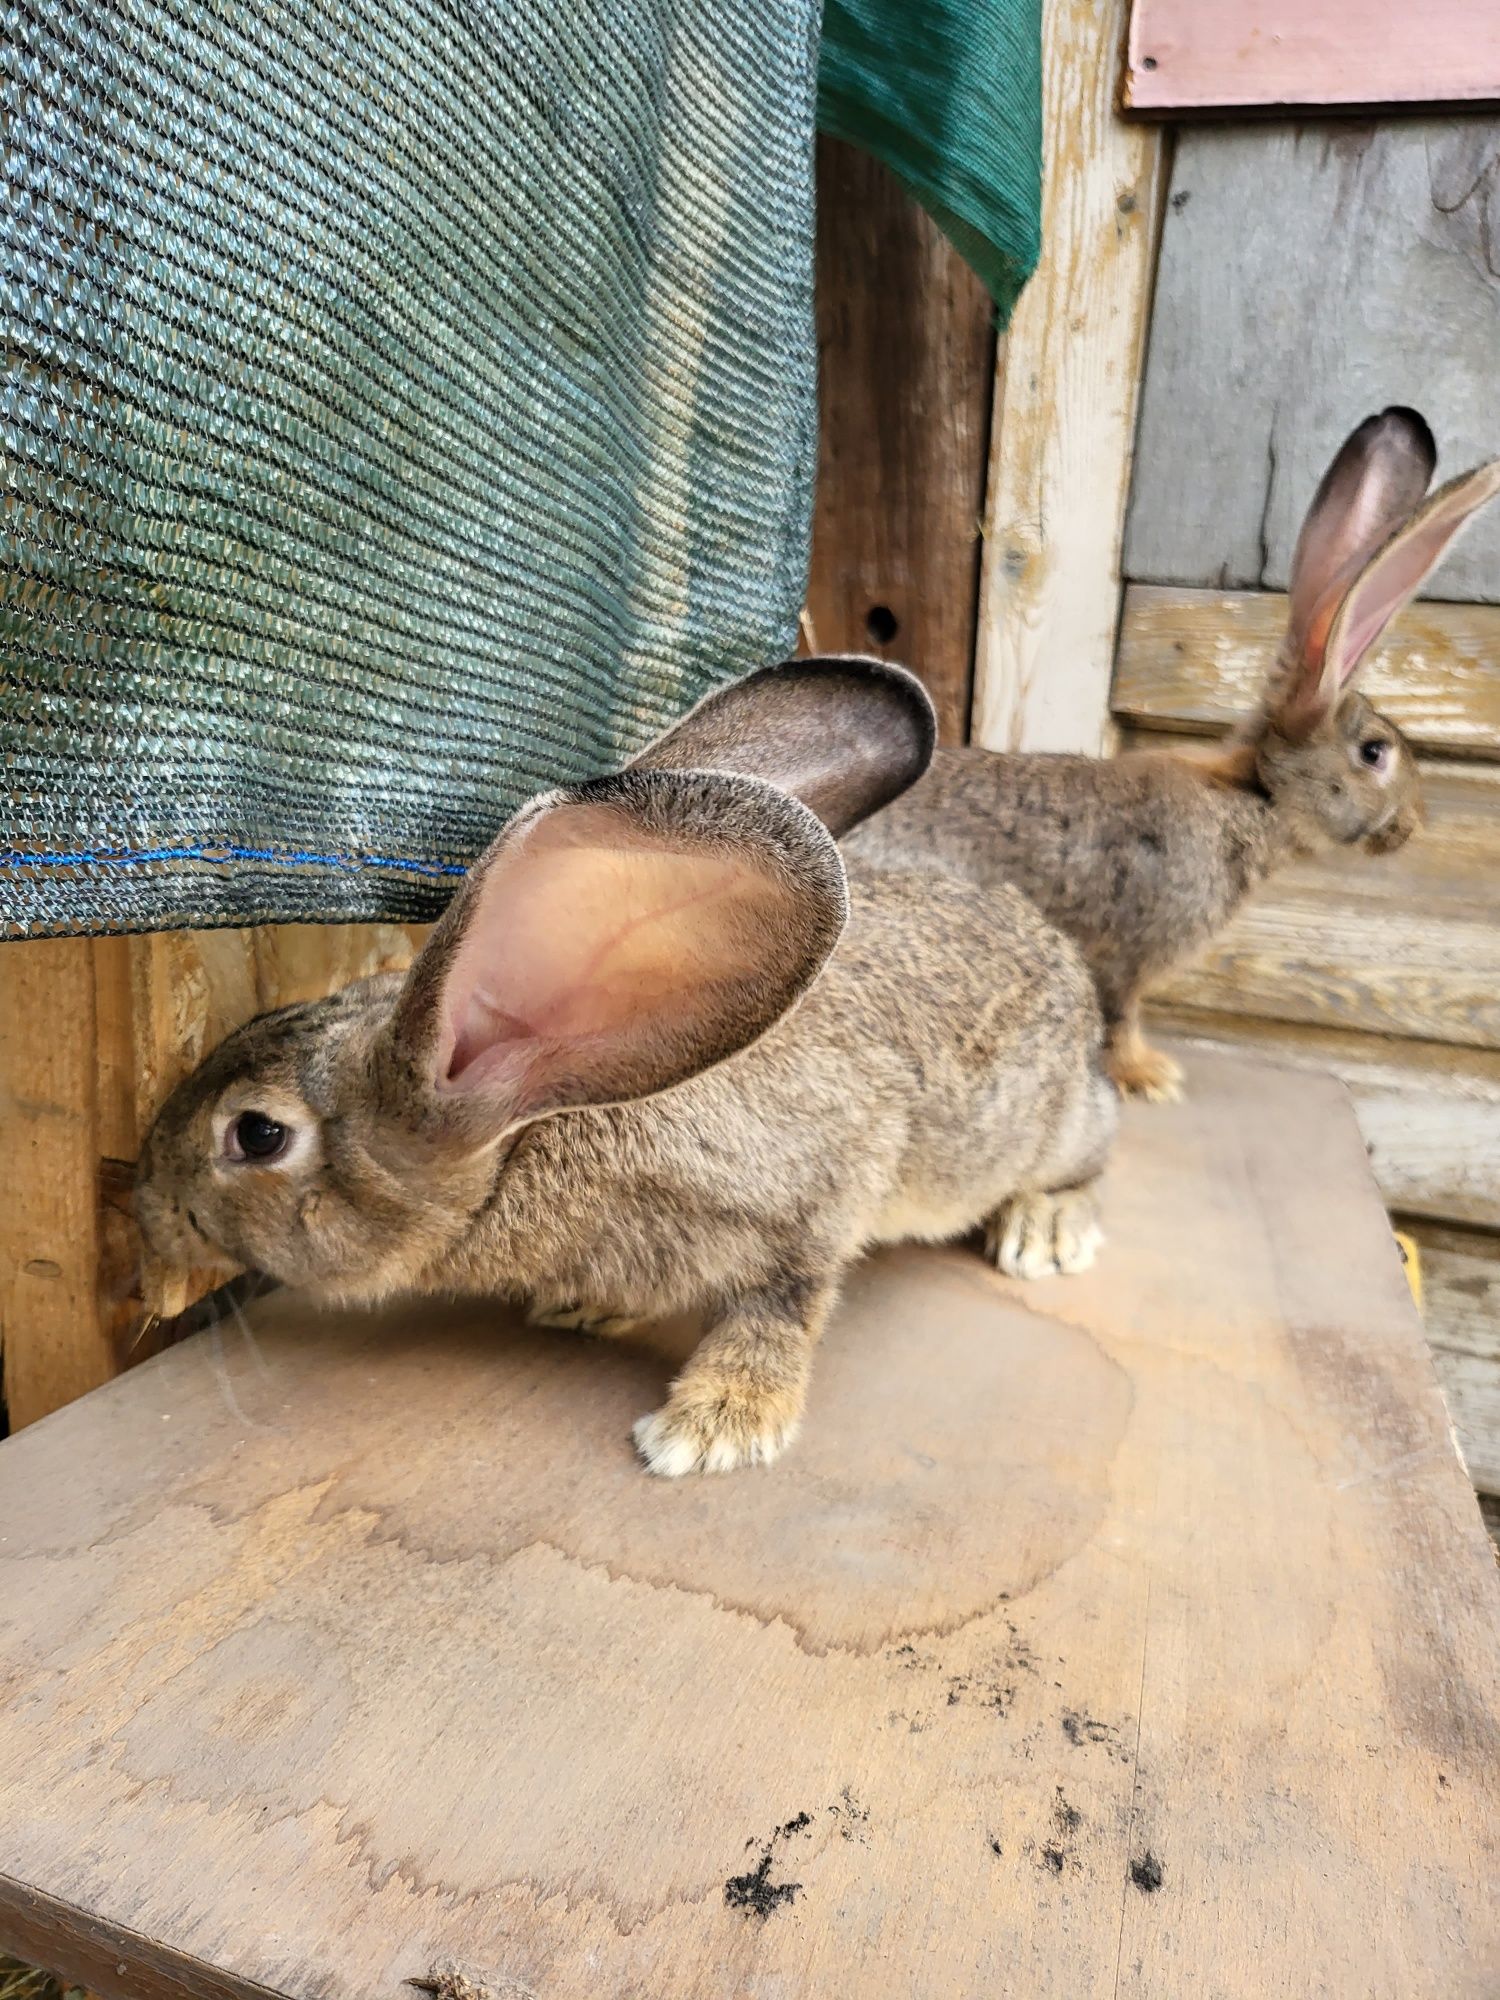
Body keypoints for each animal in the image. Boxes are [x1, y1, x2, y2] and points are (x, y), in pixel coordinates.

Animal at [138, 652, 1120, 1472]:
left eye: (257, 1135)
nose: (143, 1204)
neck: (536, 1131)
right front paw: (587, 1308)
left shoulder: (813, 1199)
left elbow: (784, 1304)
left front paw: (713, 1426)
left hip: (1052, 1127)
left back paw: (1046, 1229)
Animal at [848, 402, 1500, 1096]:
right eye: (1375, 753)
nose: (1415, 824)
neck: (1252, 797)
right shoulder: (1126, 956)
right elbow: (1119, 1015)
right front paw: (1151, 1076)